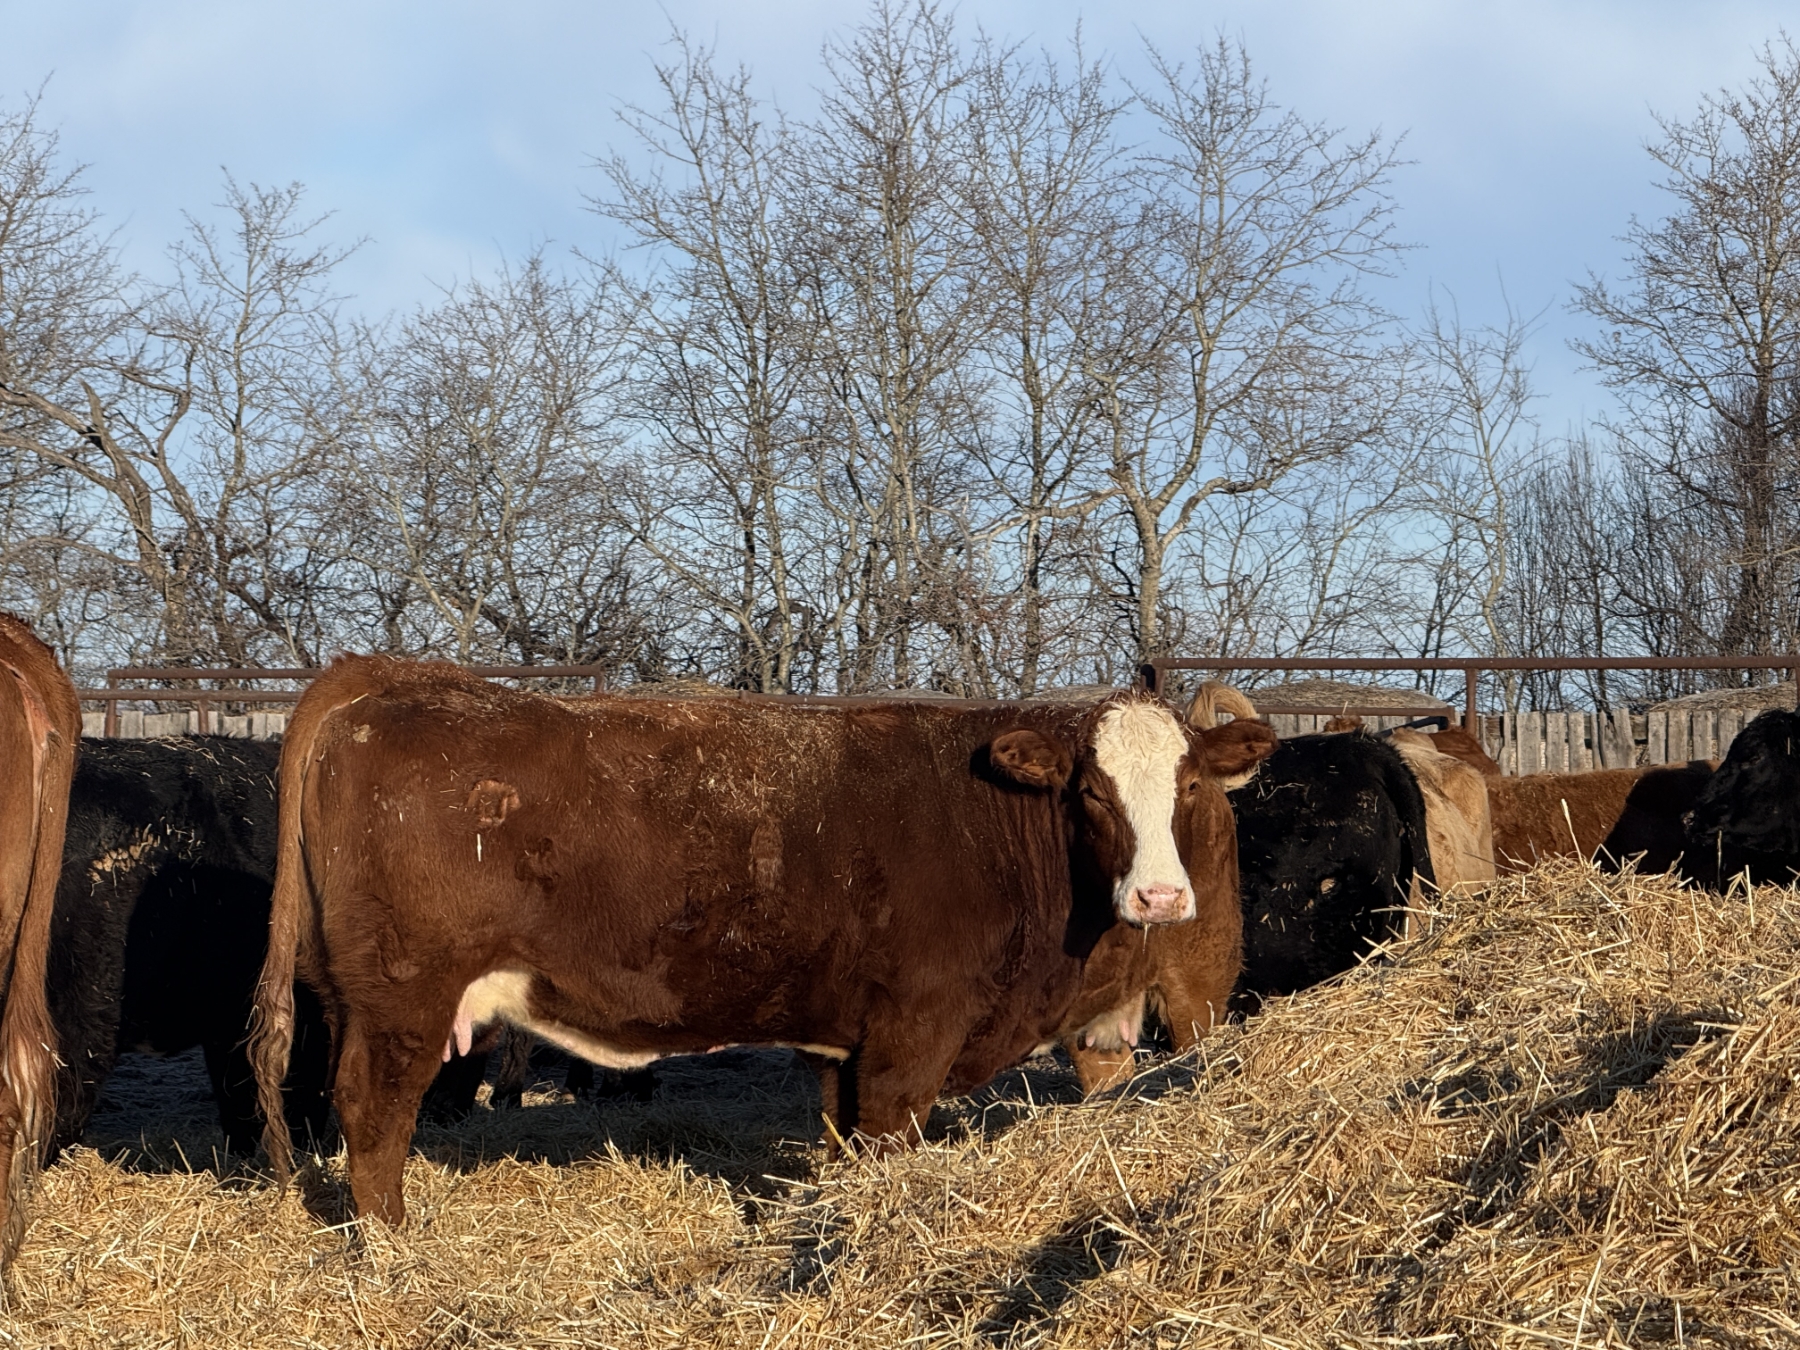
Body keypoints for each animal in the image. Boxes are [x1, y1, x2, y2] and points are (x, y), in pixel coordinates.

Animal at [250, 657, 1274, 1222]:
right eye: (1092, 791)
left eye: (1187, 786)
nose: (1159, 896)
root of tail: (392, 687)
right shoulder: (911, 1036)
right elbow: (886, 1141)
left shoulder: (846, 1044)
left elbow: (841, 1142)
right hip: (403, 1000)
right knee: (372, 1116)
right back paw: (394, 1248)